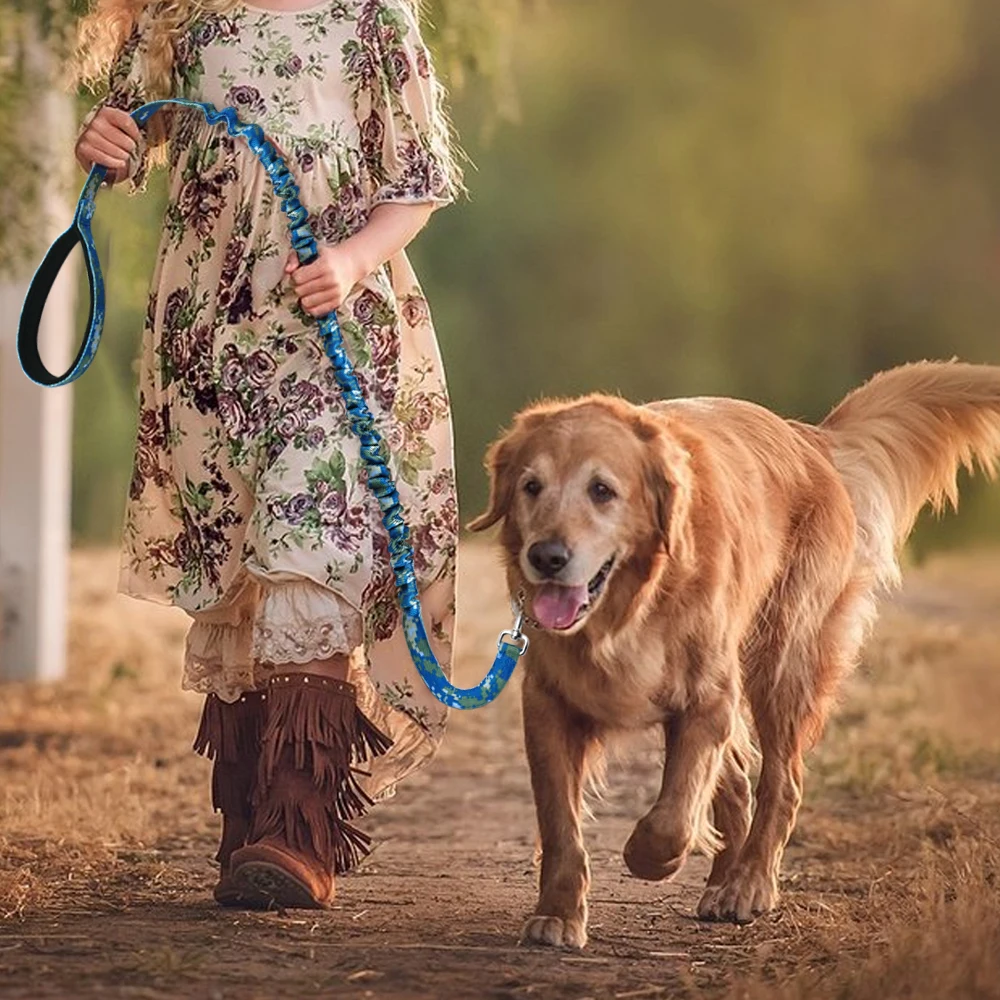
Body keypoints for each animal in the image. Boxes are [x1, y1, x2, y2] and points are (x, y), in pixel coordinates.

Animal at [466, 358, 1000, 944]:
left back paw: (749, 885)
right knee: (740, 782)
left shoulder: (708, 698)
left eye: (602, 490)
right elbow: (560, 821)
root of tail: (810, 437)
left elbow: (671, 819)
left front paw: (647, 858)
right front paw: (559, 913)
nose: (546, 557)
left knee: (782, 783)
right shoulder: (548, 704)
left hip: (781, 659)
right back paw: (725, 879)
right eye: (530, 486)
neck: (632, 607)